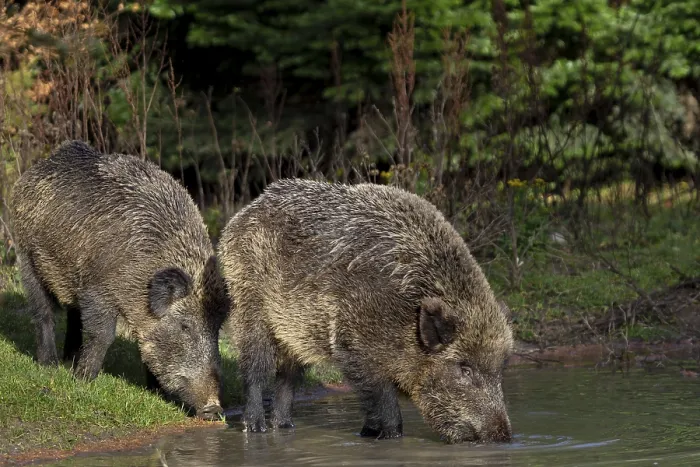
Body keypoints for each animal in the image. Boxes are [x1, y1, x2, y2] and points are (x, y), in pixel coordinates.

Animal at [9, 140, 228, 420]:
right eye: (185, 326)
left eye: (217, 329)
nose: (215, 409)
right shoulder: (97, 289)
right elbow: (102, 334)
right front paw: (83, 381)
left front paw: (156, 394)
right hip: (27, 257)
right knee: (43, 312)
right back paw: (51, 365)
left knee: (72, 315)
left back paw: (70, 359)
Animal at [217, 178, 514, 443]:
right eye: (464, 368)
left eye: (500, 369)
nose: (503, 435)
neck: (408, 315)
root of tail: (241, 216)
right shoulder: (355, 345)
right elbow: (384, 402)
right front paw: (387, 436)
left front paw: (368, 433)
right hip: (249, 305)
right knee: (255, 368)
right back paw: (256, 428)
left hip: (295, 332)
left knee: (288, 378)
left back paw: (285, 426)